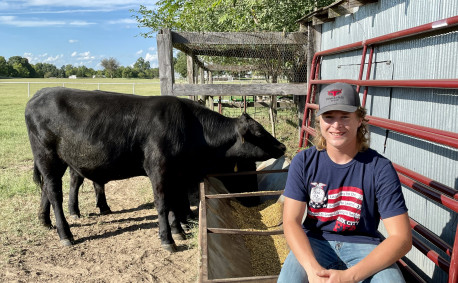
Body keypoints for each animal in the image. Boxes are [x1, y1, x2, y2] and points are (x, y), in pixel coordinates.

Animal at [25, 87, 284, 252]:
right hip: (48, 157)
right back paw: (66, 234)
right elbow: (163, 203)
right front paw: (168, 239)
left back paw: (45, 221)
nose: (282, 146)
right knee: (55, 192)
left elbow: (175, 202)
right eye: (259, 133)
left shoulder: (176, 173)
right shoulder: (158, 169)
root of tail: (40, 93)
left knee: (46, 190)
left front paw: (179, 229)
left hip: (53, 161)